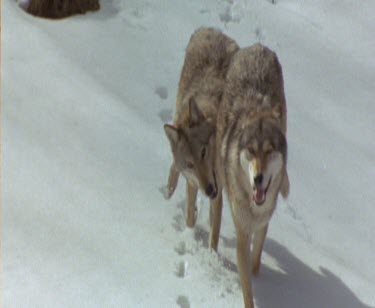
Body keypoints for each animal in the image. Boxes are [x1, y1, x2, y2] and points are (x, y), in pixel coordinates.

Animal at [216, 44, 292, 308]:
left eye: (269, 151)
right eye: (250, 150)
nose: (258, 178)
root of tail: (257, 47)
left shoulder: (262, 223)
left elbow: (257, 260)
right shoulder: (243, 231)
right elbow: (247, 287)